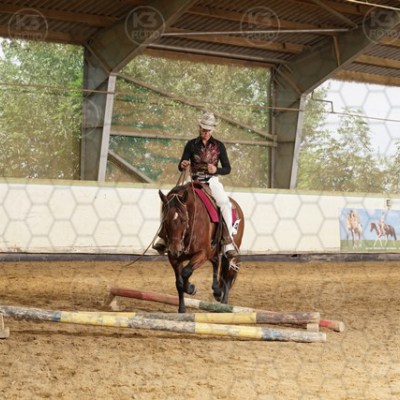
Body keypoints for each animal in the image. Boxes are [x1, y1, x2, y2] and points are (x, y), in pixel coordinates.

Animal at [158, 182, 244, 313]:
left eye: (184, 220)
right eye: (165, 220)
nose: (175, 249)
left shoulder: (202, 253)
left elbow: (186, 272)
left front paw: (190, 288)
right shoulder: (174, 258)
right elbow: (179, 282)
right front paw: (182, 309)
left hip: (229, 252)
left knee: (227, 274)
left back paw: (224, 303)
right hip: (213, 250)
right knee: (216, 263)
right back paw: (217, 291)